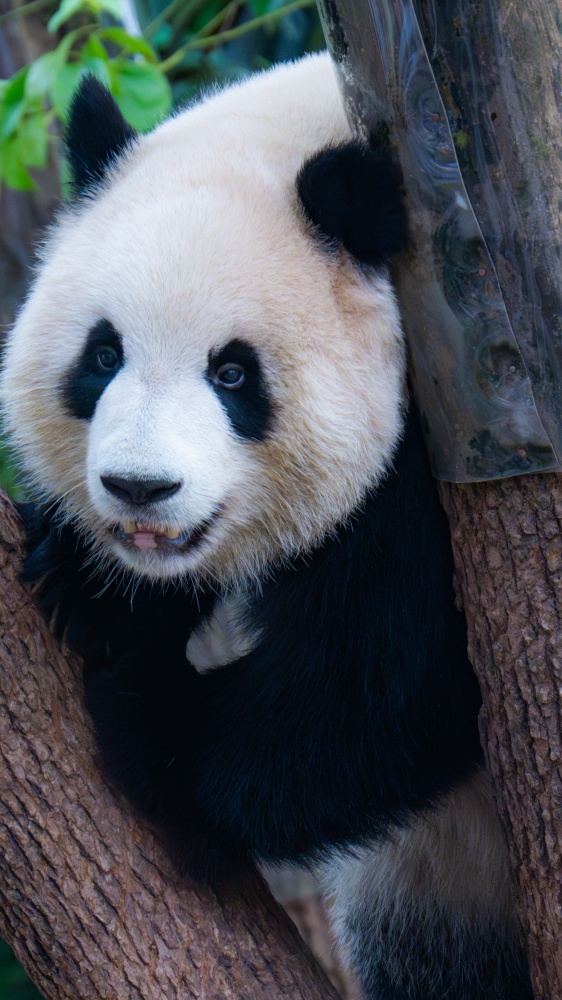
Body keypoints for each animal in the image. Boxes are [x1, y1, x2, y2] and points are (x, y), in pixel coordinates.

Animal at [3, 52, 528, 1000]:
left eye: (234, 374)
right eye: (103, 355)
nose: (139, 488)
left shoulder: (439, 446)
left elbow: (391, 677)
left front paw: (154, 721)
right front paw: (89, 588)